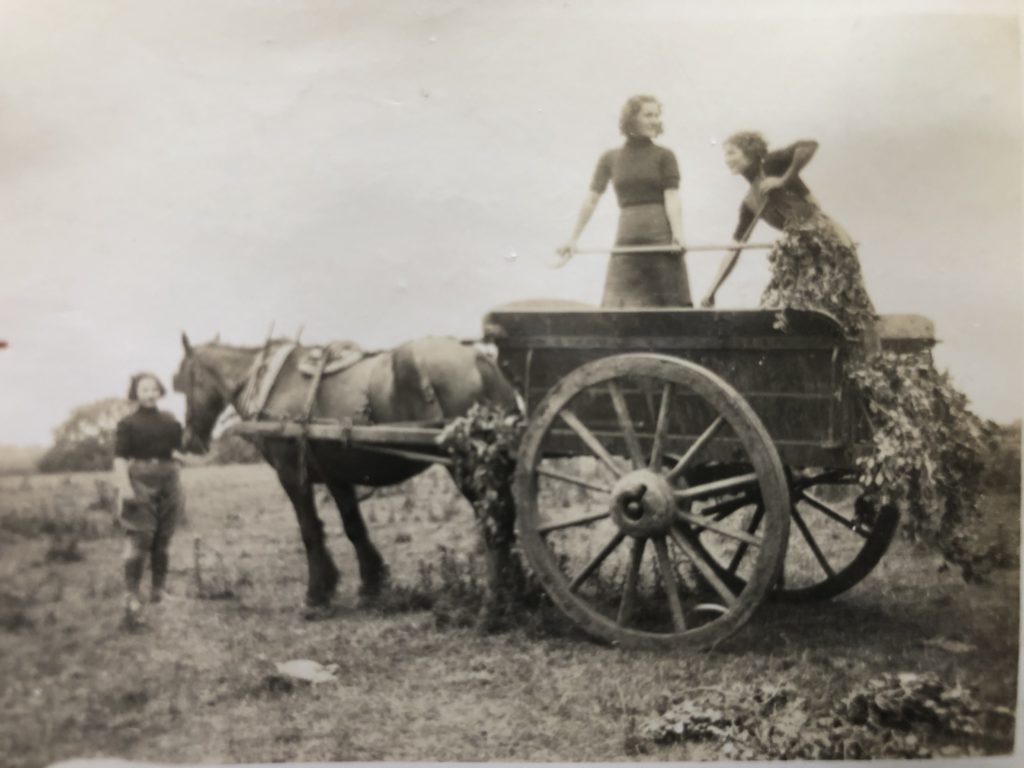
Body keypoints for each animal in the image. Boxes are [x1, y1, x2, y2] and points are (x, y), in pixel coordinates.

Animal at [174, 333, 520, 610]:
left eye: (187, 382)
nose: (189, 440)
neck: (271, 382)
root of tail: (478, 359)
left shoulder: (291, 474)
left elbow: (310, 530)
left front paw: (316, 594)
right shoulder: (335, 476)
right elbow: (354, 527)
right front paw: (370, 583)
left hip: (466, 463)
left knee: (496, 518)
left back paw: (497, 600)